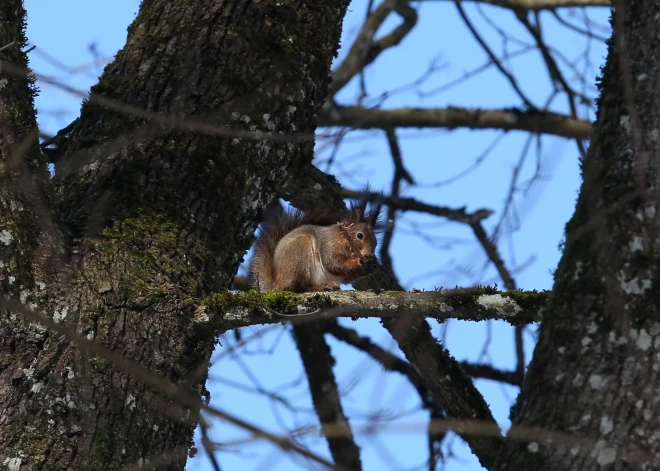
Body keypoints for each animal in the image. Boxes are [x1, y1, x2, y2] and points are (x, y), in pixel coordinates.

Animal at [249, 197, 384, 294]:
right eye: (359, 235)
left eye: (376, 242)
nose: (369, 255)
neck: (341, 238)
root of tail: (277, 284)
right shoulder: (328, 245)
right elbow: (333, 263)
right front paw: (358, 262)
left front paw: (369, 267)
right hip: (299, 253)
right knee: (297, 288)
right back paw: (322, 287)